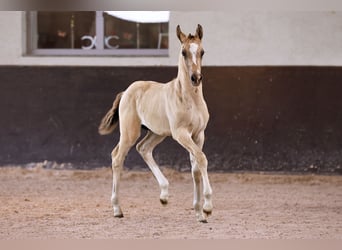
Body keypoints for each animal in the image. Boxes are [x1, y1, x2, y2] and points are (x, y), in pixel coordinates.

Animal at [97, 23, 212, 223]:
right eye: (183, 52)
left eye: (202, 51)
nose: (196, 78)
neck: (190, 99)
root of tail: (126, 91)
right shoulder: (181, 133)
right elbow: (201, 158)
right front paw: (207, 207)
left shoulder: (199, 134)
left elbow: (196, 167)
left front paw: (199, 212)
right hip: (130, 132)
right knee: (117, 157)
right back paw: (117, 208)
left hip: (157, 133)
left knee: (143, 148)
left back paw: (164, 195)